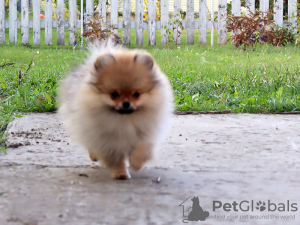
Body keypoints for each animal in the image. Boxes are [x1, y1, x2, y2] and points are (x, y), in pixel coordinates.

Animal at [58, 40, 173, 179]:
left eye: (136, 94)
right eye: (114, 94)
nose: (126, 103)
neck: (125, 120)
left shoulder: (145, 134)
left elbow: (142, 149)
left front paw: (136, 164)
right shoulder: (107, 140)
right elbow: (115, 158)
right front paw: (120, 173)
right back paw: (94, 155)